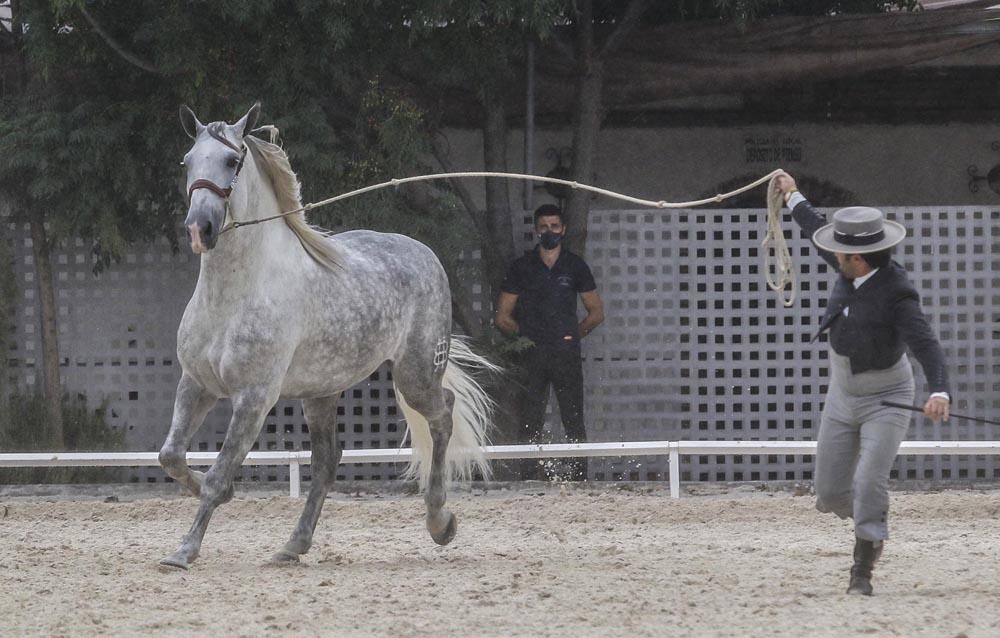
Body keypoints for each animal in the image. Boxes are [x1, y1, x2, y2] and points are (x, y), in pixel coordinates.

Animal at [157, 104, 496, 568]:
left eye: (231, 160)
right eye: (188, 161)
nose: (198, 229)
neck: (235, 293)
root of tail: (425, 253)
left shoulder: (254, 397)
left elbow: (218, 473)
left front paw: (184, 550)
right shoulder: (196, 384)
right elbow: (171, 456)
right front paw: (209, 499)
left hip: (415, 376)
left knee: (443, 413)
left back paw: (439, 521)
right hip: (321, 393)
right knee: (327, 461)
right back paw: (293, 545)